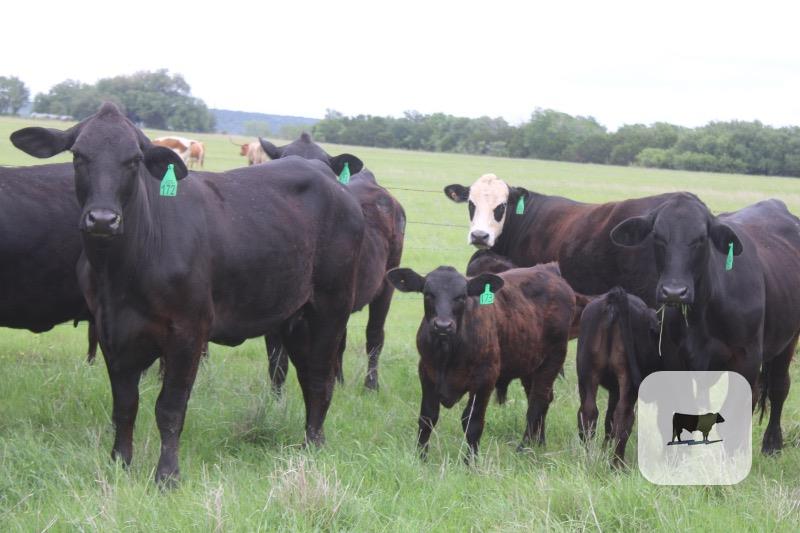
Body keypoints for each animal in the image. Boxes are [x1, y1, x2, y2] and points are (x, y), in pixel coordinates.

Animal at [11, 102, 365, 485]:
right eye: (78, 155)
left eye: (134, 159)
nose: (102, 219)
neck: (120, 270)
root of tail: (329, 178)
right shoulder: (111, 332)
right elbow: (124, 406)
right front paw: (119, 463)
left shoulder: (188, 331)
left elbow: (169, 408)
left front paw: (167, 475)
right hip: (293, 317)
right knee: (305, 375)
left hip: (330, 308)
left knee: (320, 378)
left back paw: (312, 447)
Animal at [259, 132, 405, 391]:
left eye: (324, 168)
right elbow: (277, 362)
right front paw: (274, 398)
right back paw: (340, 382)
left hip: (387, 283)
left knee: (375, 336)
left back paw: (371, 385)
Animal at [387, 263, 576, 459]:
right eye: (428, 294)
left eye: (462, 296)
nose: (443, 326)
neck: (447, 355)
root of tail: (549, 270)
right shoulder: (426, 372)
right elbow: (427, 417)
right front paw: (421, 457)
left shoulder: (485, 378)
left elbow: (472, 422)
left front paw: (471, 461)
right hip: (530, 365)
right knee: (541, 399)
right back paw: (539, 444)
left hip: (554, 358)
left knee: (537, 402)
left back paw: (523, 448)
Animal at [576, 287, 661, 465]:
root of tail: (615, 296)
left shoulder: (613, 389)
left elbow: (609, 419)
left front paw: (603, 451)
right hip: (628, 379)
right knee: (624, 415)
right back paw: (617, 464)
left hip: (587, 375)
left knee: (589, 413)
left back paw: (589, 459)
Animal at [610, 192, 800, 454]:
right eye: (657, 236)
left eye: (701, 238)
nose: (674, 292)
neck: (702, 313)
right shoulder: (674, 357)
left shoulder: (747, 358)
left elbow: (735, 416)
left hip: (788, 340)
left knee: (779, 387)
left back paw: (772, 444)